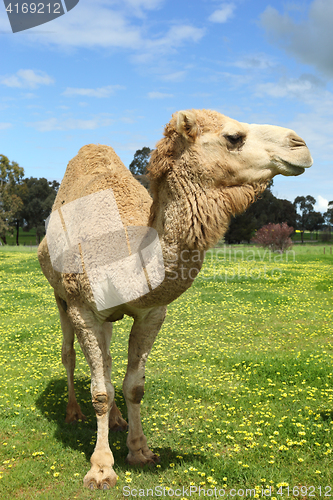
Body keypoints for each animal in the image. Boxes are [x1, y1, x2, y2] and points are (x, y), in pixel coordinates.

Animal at [37, 109, 312, 488]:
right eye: (233, 137)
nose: (300, 145)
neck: (126, 254)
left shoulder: (152, 312)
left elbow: (133, 386)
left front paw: (140, 450)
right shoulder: (83, 309)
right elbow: (101, 391)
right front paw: (101, 468)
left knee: (106, 361)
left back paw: (118, 420)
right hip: (60, 297)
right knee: (69, 355)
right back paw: (73, 412)